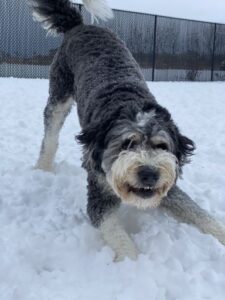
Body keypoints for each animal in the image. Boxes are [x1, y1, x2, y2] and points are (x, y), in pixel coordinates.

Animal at [29, 0, 225, 260]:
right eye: (126, 143)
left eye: (161, 146)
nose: (149, 174)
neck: (128, 101)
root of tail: (80, 26)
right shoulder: (99, 189)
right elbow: (119, 237)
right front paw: (135, 264)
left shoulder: (169, 185)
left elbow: (200, 214)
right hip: (58, 94)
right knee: (50, 135)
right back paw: (43, 168)